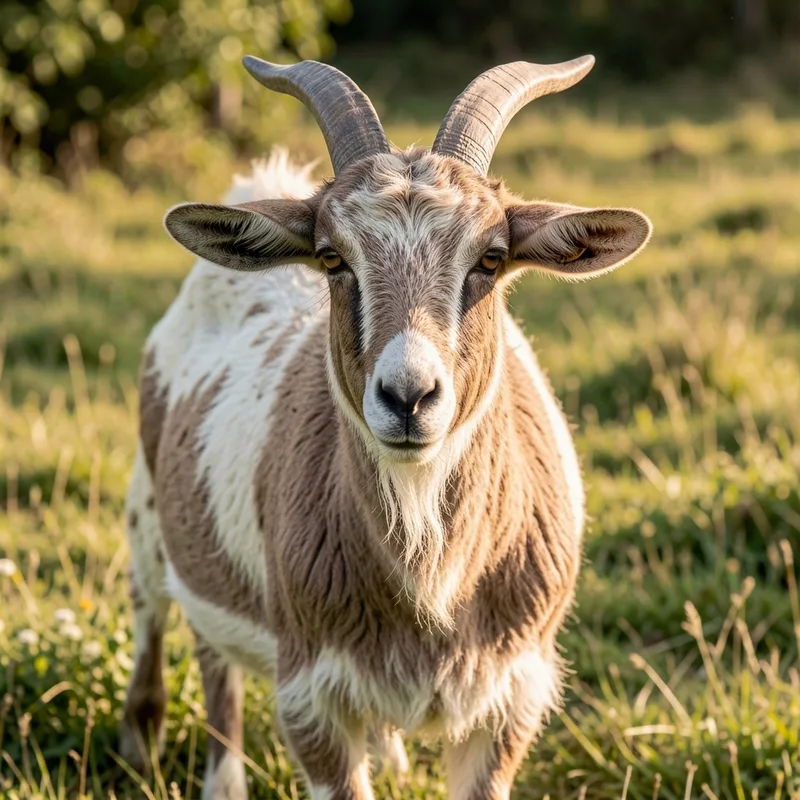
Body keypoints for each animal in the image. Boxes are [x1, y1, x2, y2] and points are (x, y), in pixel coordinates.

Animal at [120, 56, 652, 799]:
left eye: (490, 257)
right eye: (331, 256)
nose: (408, 396)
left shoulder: (513, 695)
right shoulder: (310, 696)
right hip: (147, 507)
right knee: (165, 616)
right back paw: (151, 747)